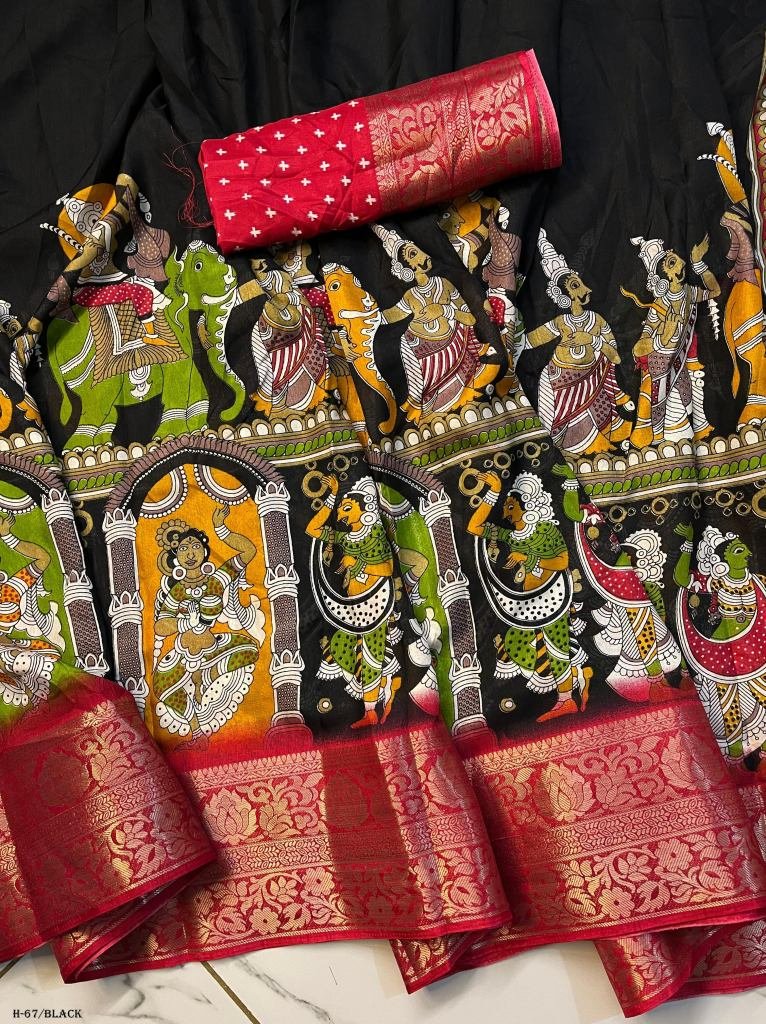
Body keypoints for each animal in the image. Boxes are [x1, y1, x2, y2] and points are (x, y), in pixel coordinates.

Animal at [46, 241, 247, 449]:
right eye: (198, 266)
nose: (225, 414)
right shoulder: (173, 346)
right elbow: (178, 381)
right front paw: (170, 437)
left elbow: (192, 378)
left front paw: (196, 431)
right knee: (96, 406)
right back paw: (82, 450)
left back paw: (103, 447)